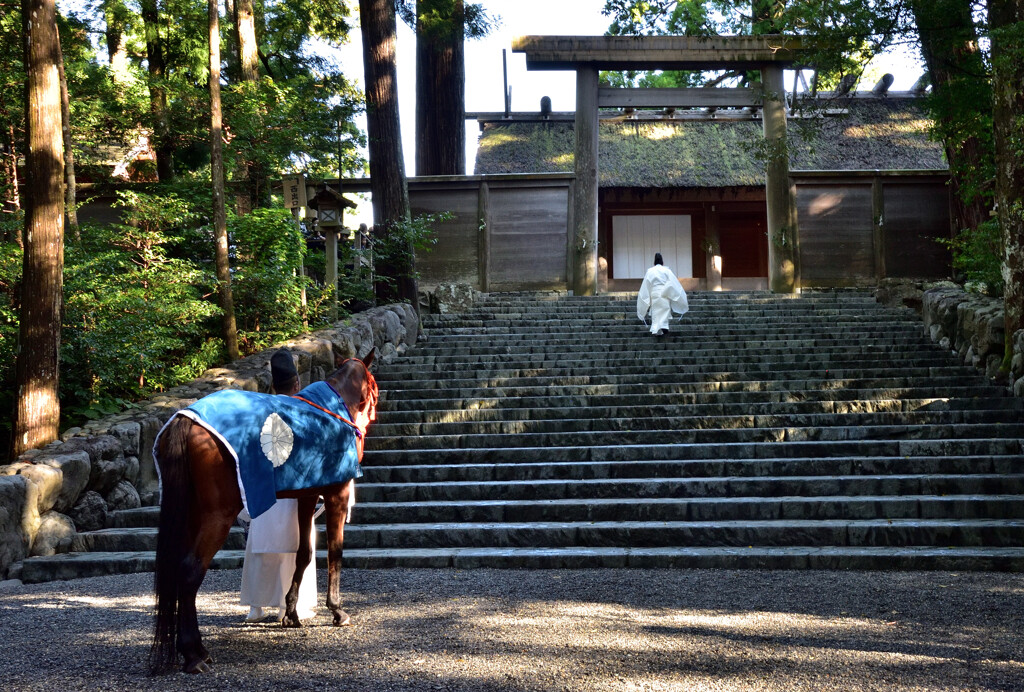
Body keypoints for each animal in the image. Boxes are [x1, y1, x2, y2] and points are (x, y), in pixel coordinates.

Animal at [149, 348, 378, 671]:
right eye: (373, 385)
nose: (369, 417)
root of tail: (186, 418)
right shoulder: (337, 495)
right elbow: (335, 552)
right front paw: (337, 610)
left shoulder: (306, 496)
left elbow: (303, 553)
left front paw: (291, 612)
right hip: (217, 516)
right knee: (190, 571)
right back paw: (194, 654)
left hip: (190, 513)